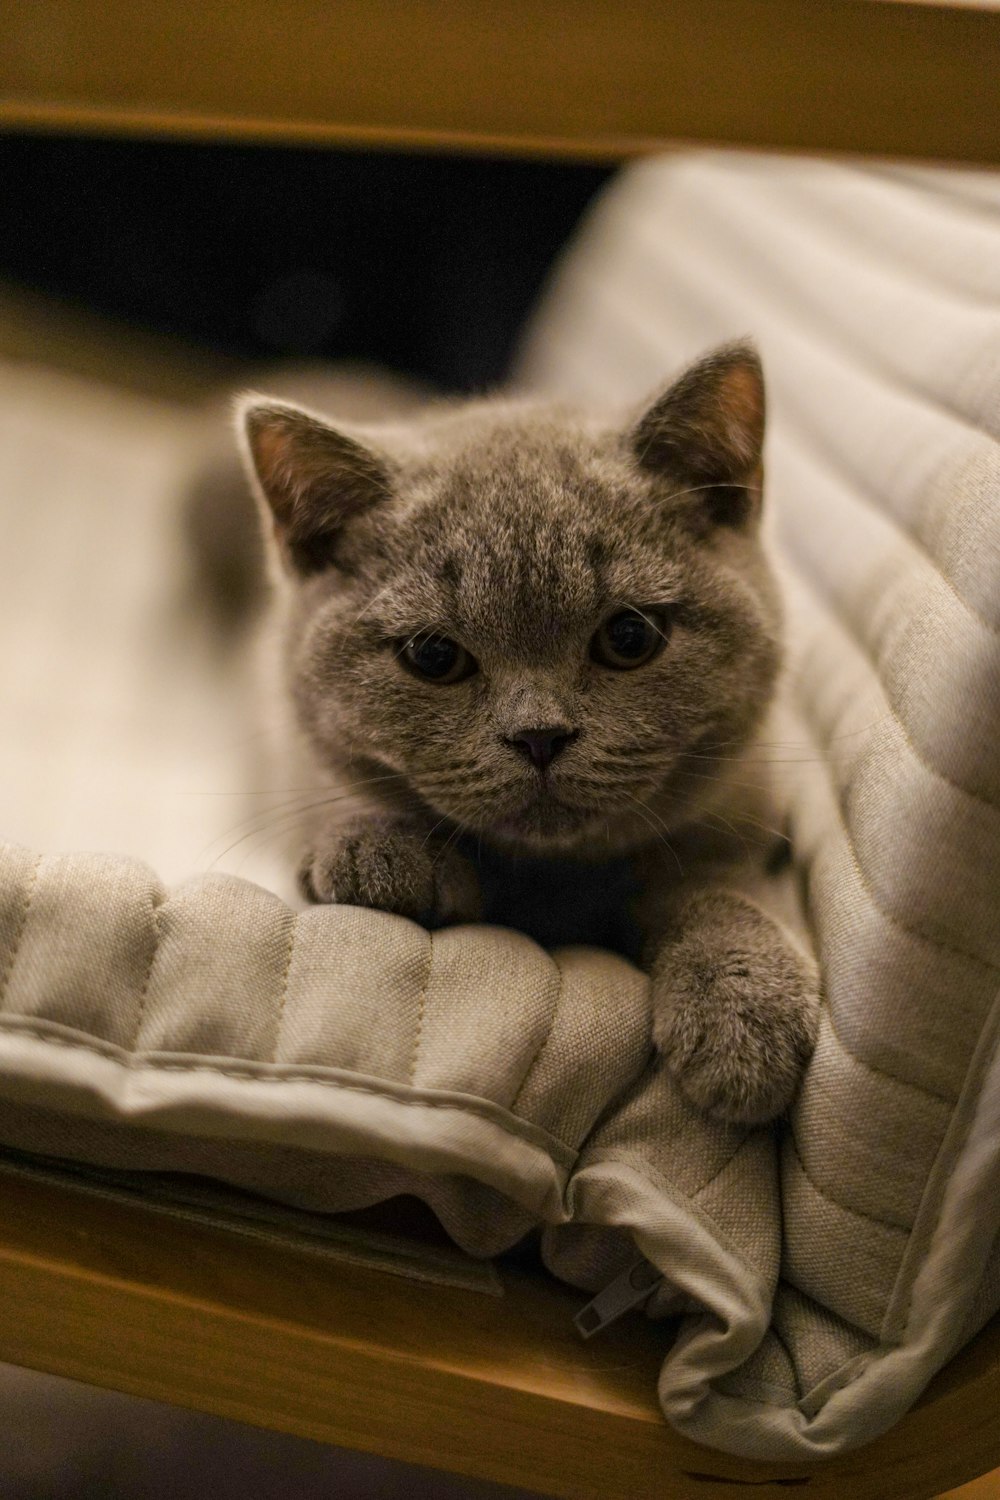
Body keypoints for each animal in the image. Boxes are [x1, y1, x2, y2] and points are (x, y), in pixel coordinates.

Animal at [236, 348, 821, 1128]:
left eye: (630, 637)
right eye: (433, 655)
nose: (539, 735)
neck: (553, 885)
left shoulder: (752, 815)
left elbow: (716, 883)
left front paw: (746, 1010)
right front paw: (380, 848)